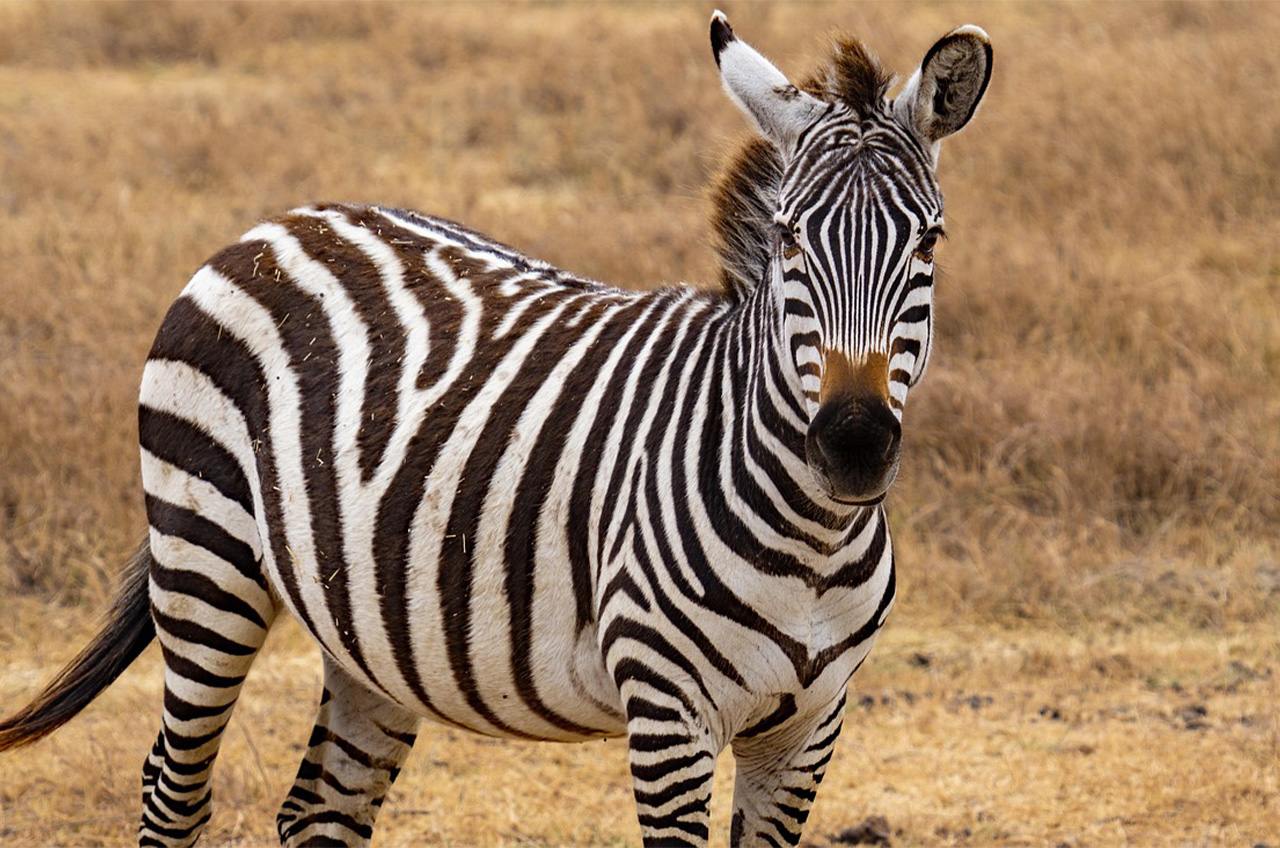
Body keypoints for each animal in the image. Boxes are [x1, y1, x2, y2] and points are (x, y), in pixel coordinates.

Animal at [0, 12, 991, 847]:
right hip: (205, 563)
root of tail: (275, 224)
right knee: (172, 789)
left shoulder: (810, 730)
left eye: (930, 243)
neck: (812, 543)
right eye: (788, 240)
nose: (853, 445)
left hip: (364, 629)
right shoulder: (668, 712)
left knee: (318, 810)